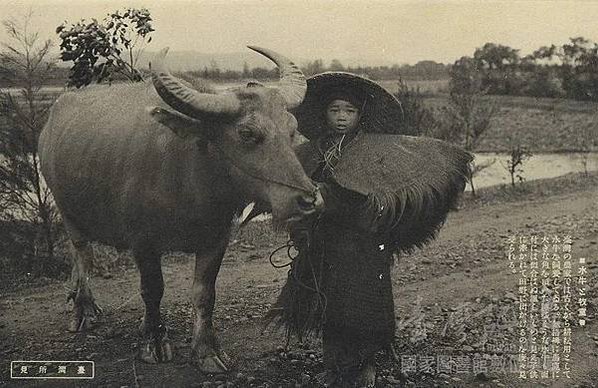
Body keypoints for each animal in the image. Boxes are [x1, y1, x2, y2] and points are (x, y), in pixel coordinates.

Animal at [38, 47, 324, 372]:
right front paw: (153, 341)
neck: (190, 177)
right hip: (68, 213)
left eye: (292, 130)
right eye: (247, 133)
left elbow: (204, 294)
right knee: (83, 257)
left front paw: (206, 350)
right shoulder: (143, 242)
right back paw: (83, 309)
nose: (308, 200)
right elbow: (152, 291)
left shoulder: (216, 239)